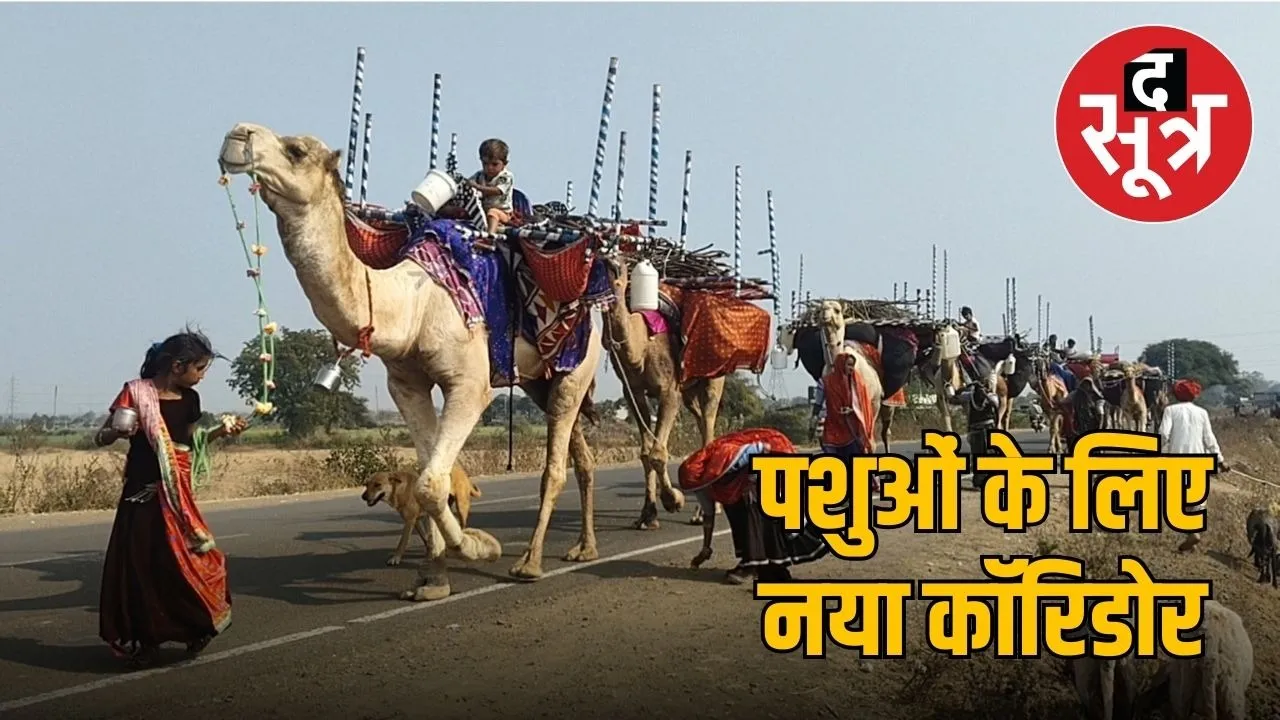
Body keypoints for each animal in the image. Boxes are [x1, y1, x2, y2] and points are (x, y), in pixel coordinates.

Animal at [218, 123, 605, 600]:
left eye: (296, 151)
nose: (237, 135)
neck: (412, 306)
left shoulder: (469, 384)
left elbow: (431, 482)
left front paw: (480, 547)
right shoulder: (407, 383)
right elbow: (423, 477)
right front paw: (433, 581)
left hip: (579, 363)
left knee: (554, 465)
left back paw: (529, 563)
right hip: (540, 377)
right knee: (581, 456)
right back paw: (584, 549)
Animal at [600, 256, 725, 530]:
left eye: (619, 274)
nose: (611, 265)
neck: (640, 346)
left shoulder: (669, 391)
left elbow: (657, 453)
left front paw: (674, 500)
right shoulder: (632, 392)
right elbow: (645, 453)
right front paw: (647, 515)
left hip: (714, 379)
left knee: (709, 422)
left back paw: (706, 511)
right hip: (689, 390)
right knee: (701, 421)